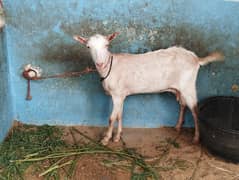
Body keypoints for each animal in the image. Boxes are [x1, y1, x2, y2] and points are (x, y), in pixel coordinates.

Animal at [73, 32, 224, 145]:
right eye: (88, 47)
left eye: (107, 45)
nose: (99, 63)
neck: (110, 66)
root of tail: (196, 59)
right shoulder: (121, 95)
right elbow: (119, 115)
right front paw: (117, 136)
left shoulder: (116, 95)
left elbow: (111, 118)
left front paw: (106, 139)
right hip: (181, 88)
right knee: (183, 104)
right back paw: (177, 127)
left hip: (188, 86)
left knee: (195, 110)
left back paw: (196, 138)